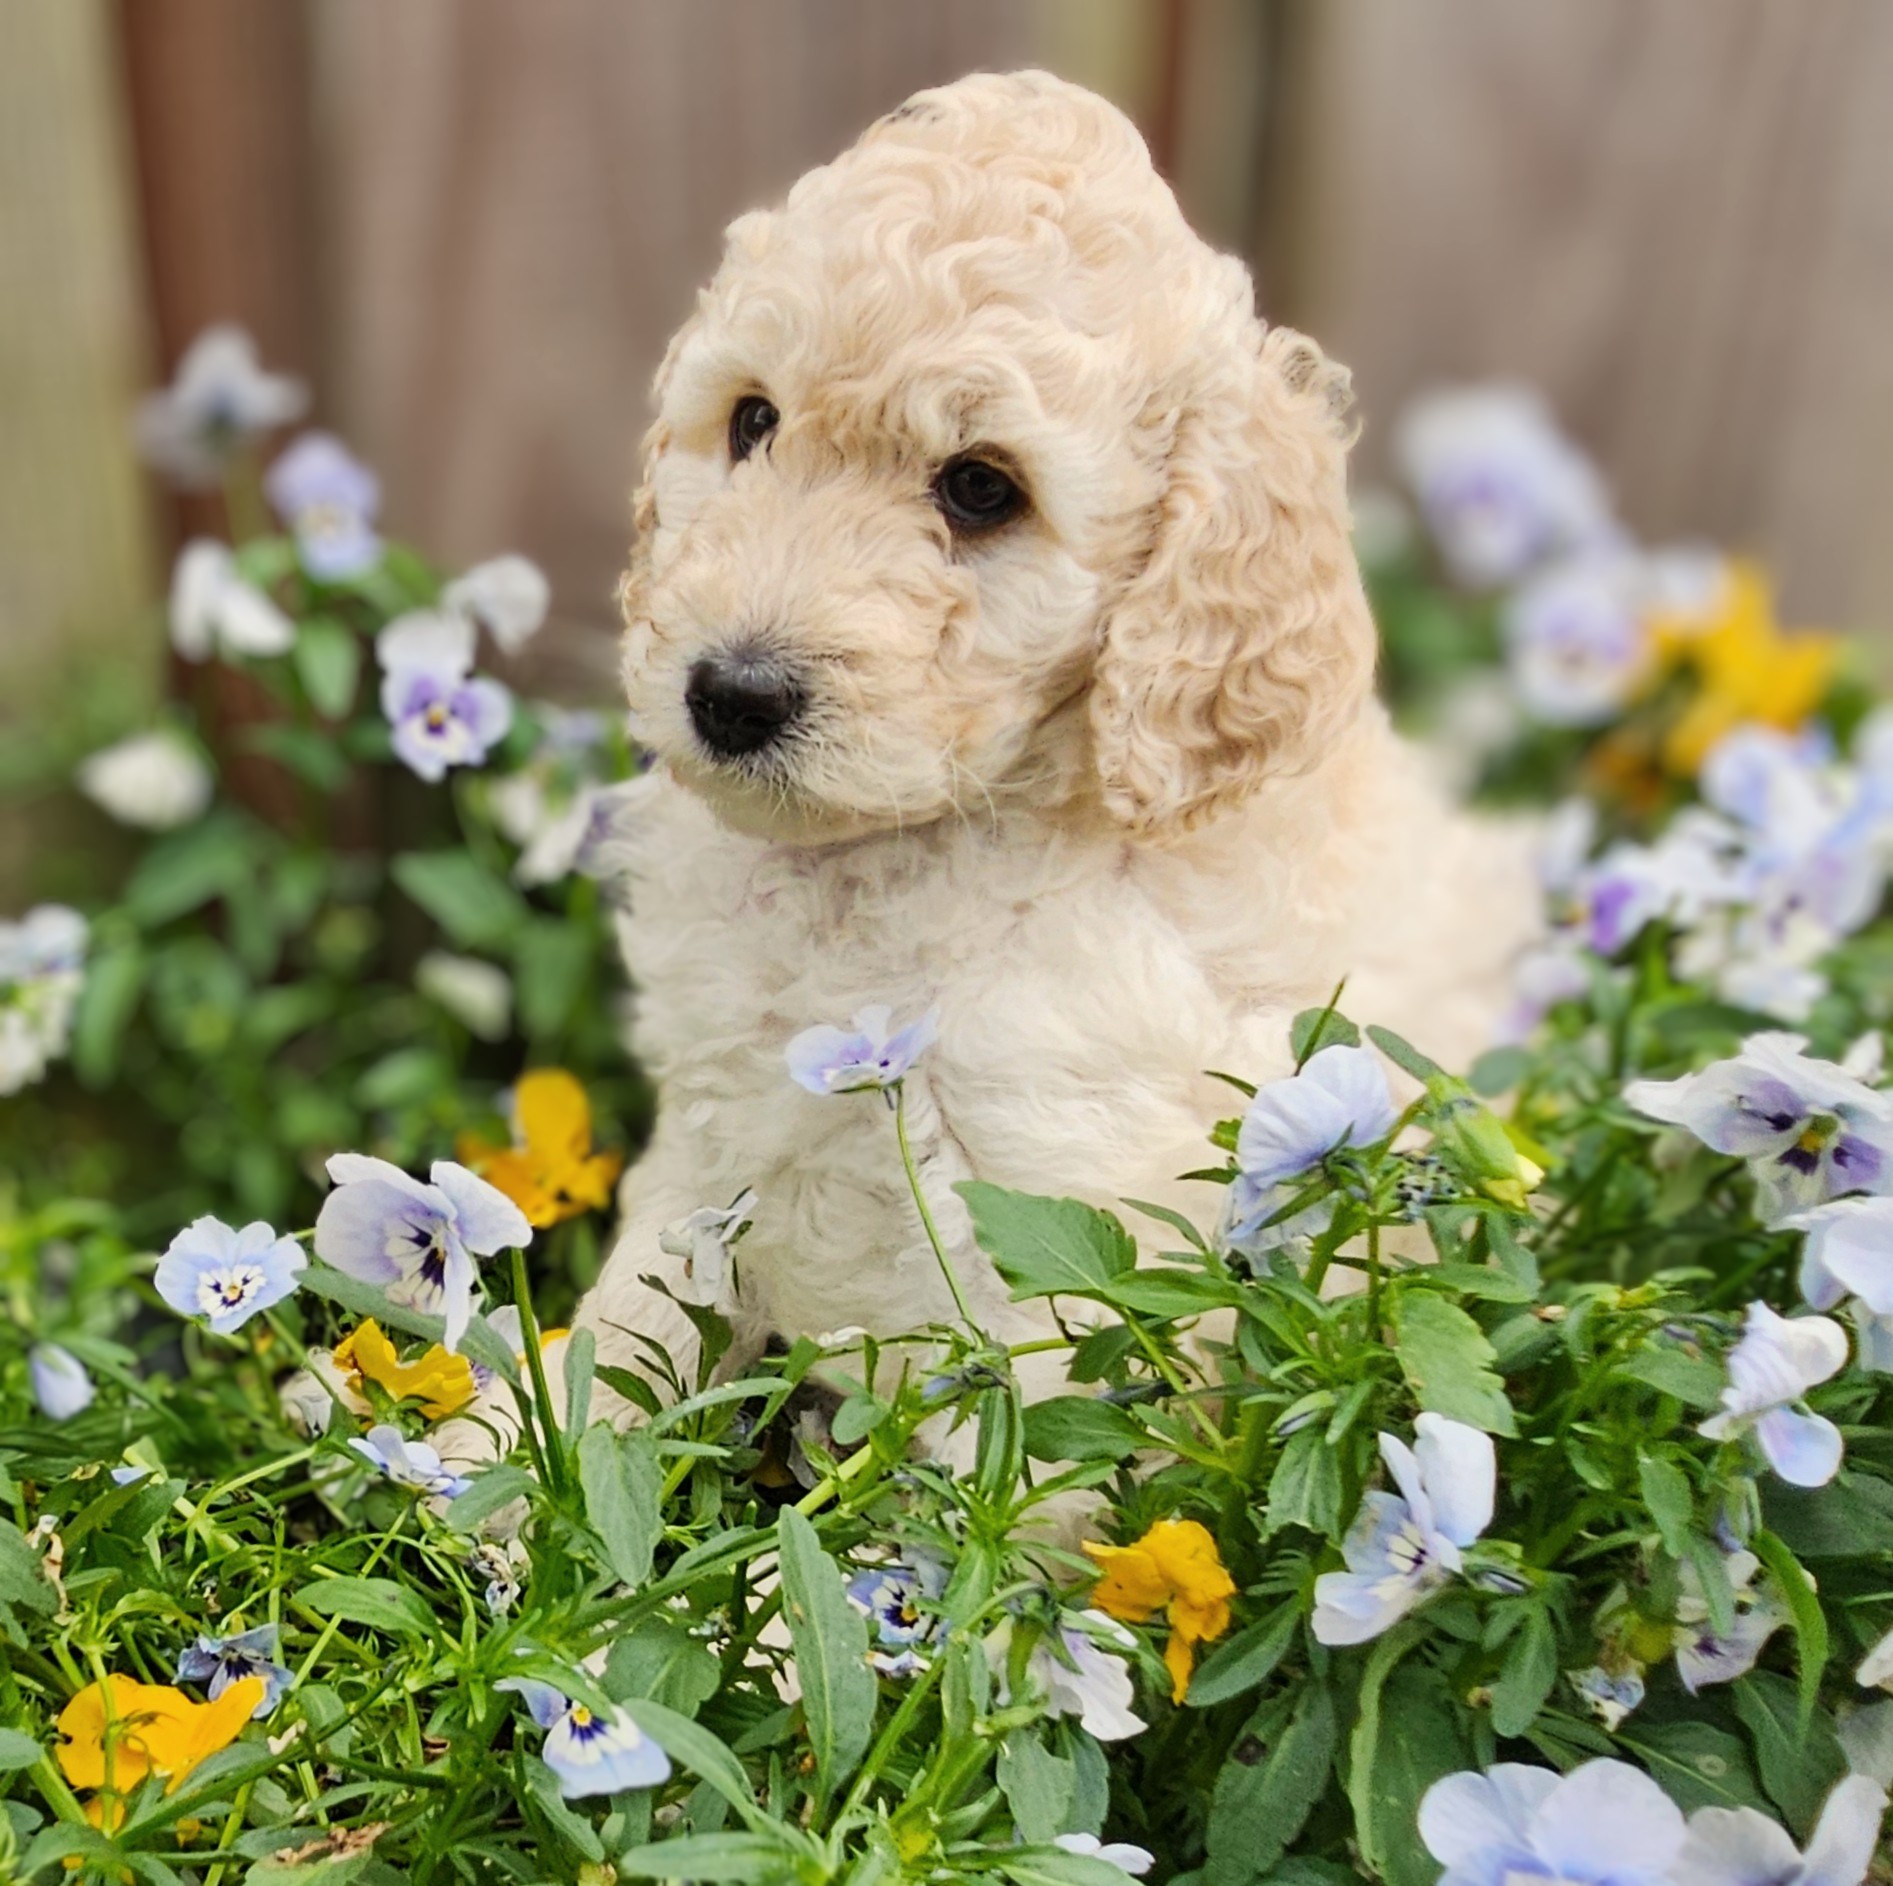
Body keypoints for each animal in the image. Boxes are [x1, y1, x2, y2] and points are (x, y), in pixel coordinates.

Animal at [503, 62, 1537, 1446]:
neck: (898, 860)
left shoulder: (1061, 1231)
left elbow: (1000, 1476)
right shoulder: (711, 1143)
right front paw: (484, 1461)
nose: (729, 695)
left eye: (982, 489)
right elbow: (619, 1334)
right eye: (752, 422)